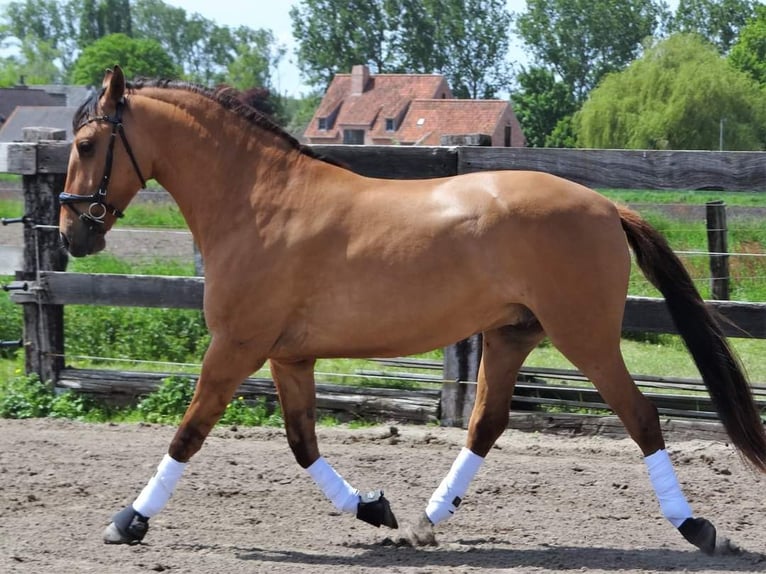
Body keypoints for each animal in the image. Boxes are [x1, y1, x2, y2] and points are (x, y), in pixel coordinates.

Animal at [58, 67, 766, 560]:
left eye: (88, 143)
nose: (73, 233)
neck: (259, 202)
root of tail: (604, 205)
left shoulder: (236, 346)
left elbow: (190, 431)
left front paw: (128, 521)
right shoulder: (288, 355)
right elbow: (302, 443)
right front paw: (375, 509)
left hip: (585, 337)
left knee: (642, 417)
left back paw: (699, 528)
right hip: (510, 336)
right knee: (486, 423)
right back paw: (427, 521)